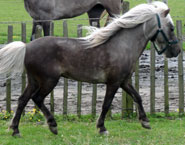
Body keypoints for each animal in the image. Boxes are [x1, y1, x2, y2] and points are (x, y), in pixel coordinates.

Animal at [0, 1, 181, 137]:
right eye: (171, 28)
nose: (177, 51)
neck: (122, 46)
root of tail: (26, 47)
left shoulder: (124, 81)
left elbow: (138, 97)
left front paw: (145, 122)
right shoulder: (113, 83)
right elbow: (106, 105)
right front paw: (102, 128)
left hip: (34, 81)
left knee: (22, 100)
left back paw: (15, 130)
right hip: (48, 81)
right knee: (37, 98)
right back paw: (53, 125)